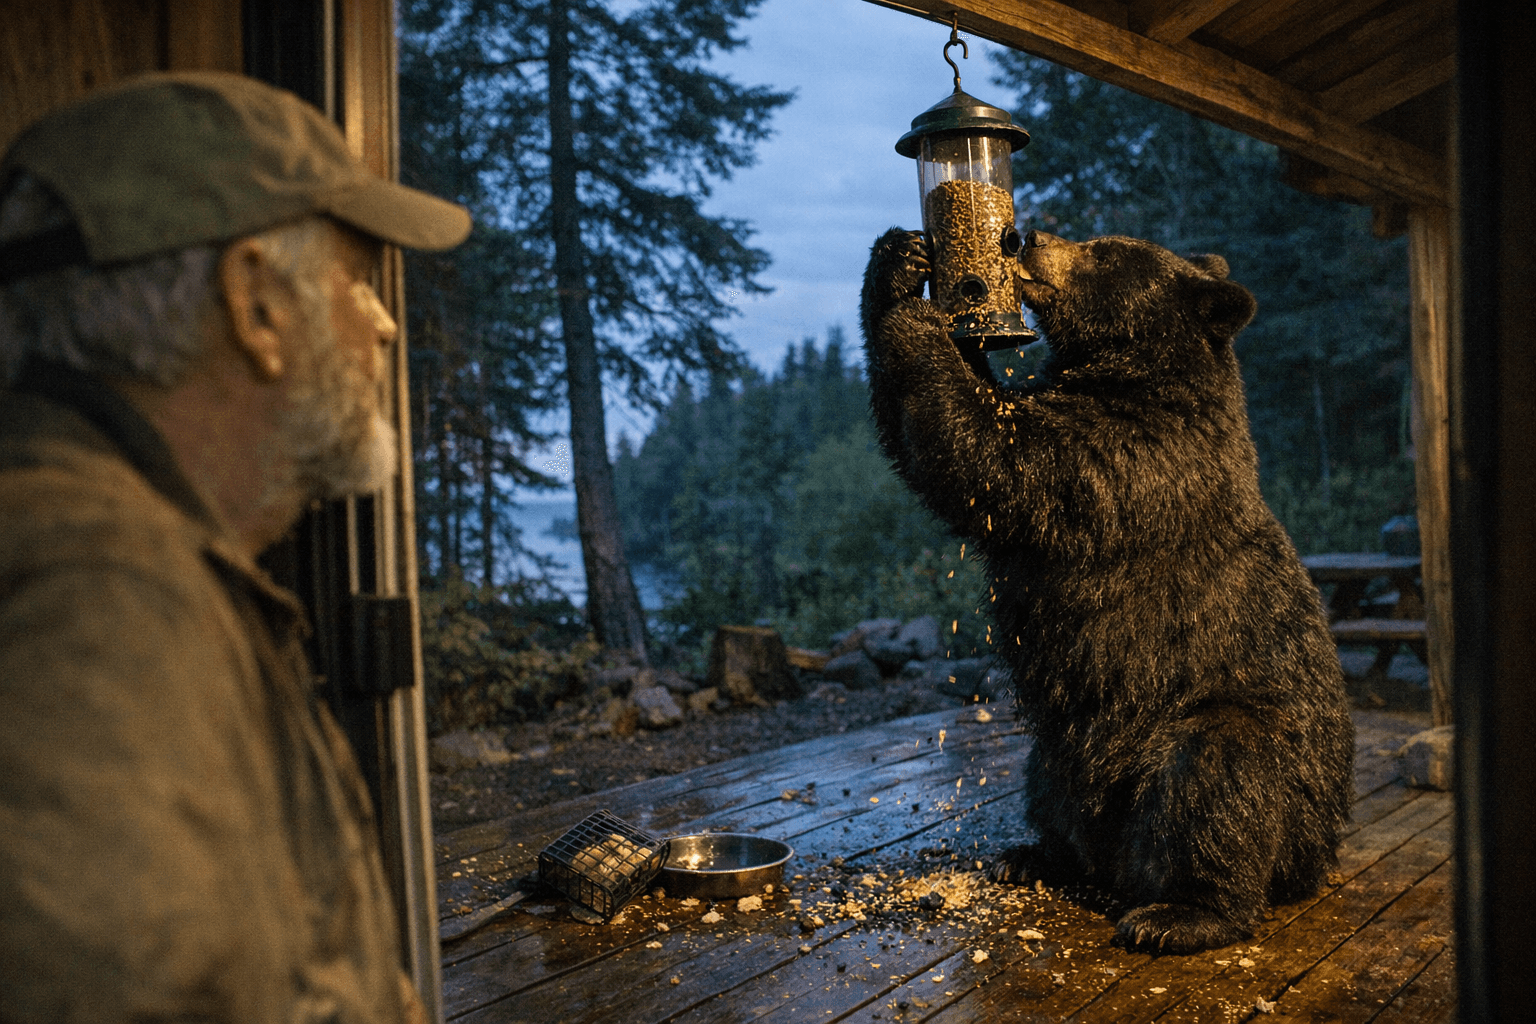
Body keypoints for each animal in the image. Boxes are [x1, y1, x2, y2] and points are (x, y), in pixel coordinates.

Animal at [859, 226, 1355, 954]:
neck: (1129, 372)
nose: (1027, 235)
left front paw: (919, 318)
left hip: (1244, 747)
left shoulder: (1126, 462)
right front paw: (899, 263)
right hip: (1061, 753)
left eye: (1105, 249)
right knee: (1048, 786)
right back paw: (1035, 854)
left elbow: (987, 456)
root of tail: (1323, 850)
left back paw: (1180, 913)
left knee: (1217, 772)